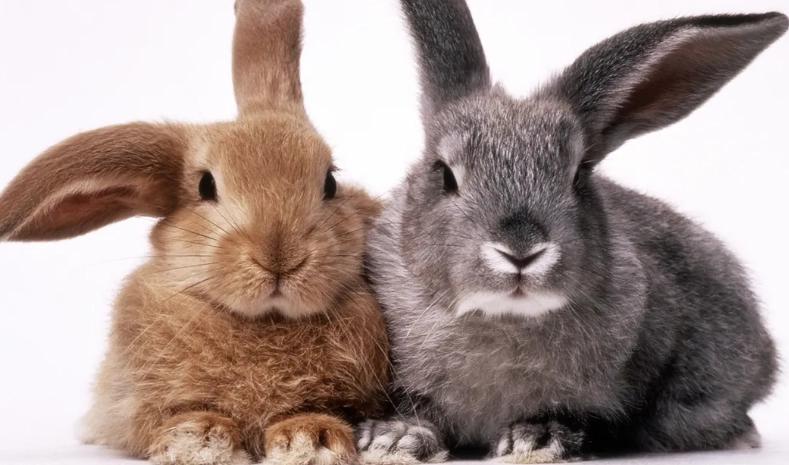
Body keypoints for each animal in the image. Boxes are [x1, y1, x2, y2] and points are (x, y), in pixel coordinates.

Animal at [0, 1, 389, 464]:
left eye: (330, 183)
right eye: (206, 186)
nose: (279, 256)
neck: (265, 322)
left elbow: (315, 412)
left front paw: (310, 439)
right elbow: (175, 417)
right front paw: (200, 438)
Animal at [356, 0, 787, 463]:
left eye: (578, 175)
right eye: (445, 174)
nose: (521, 251)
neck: (506, 318)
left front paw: (537, 440)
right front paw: (393, 440)